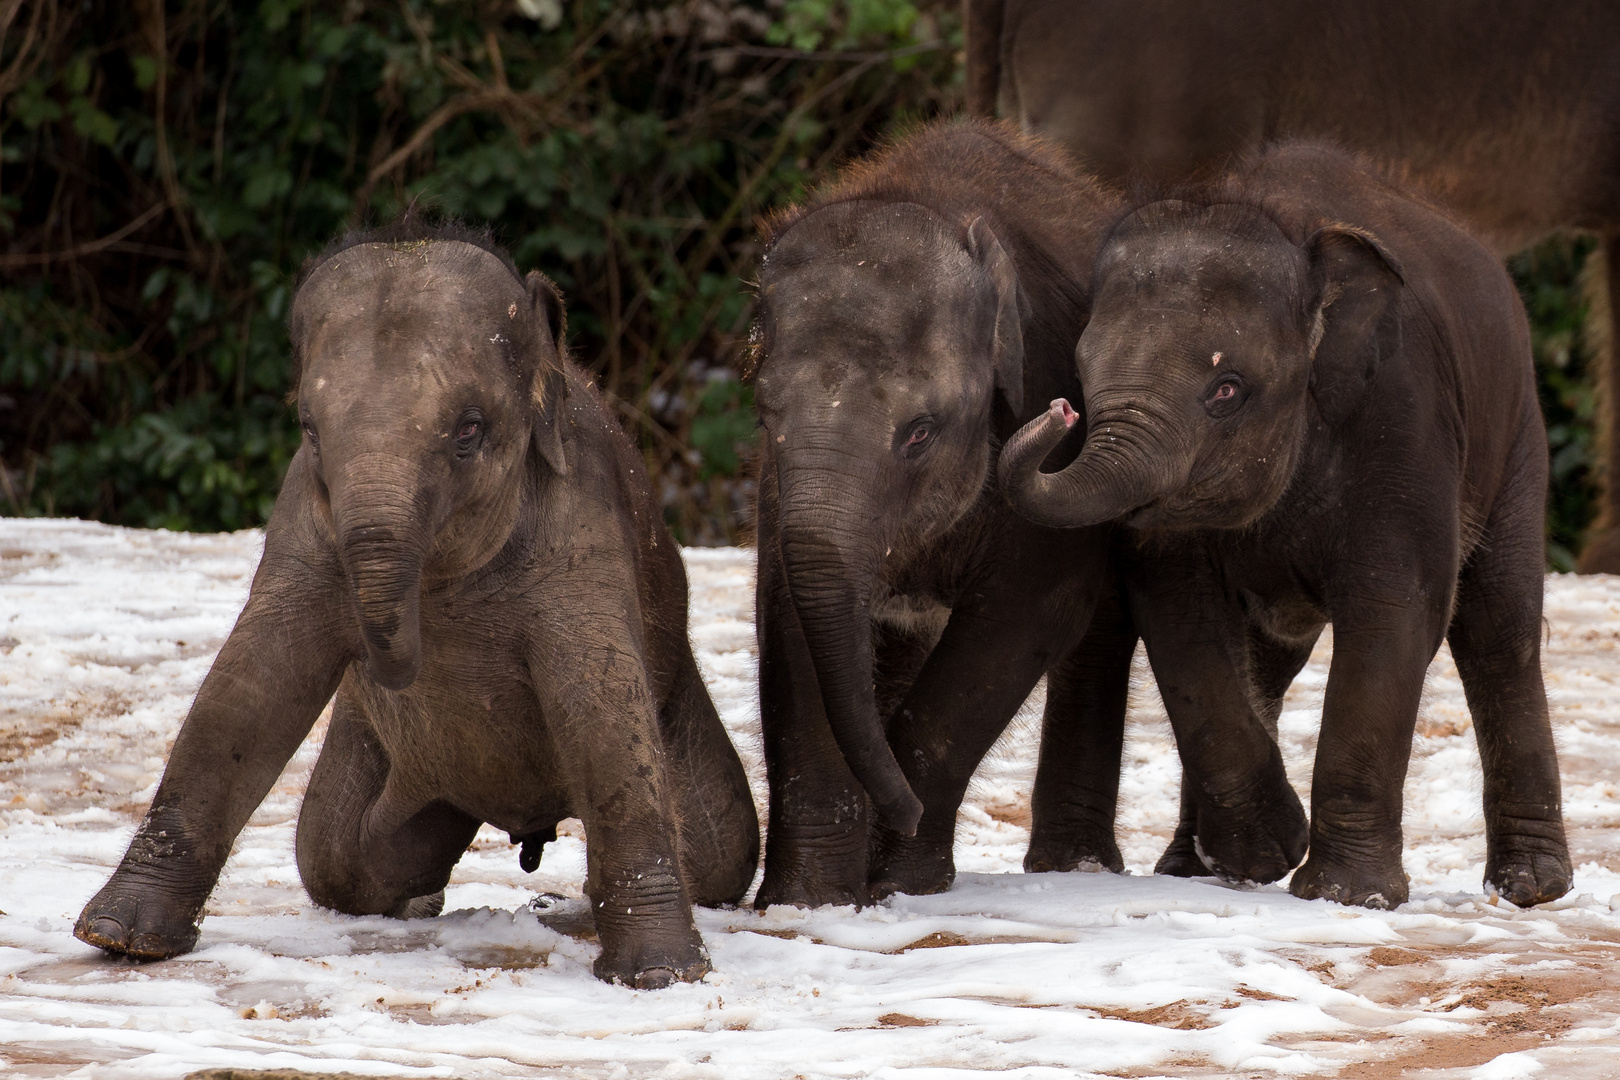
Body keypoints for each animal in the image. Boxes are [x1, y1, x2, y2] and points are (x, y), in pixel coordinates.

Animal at [71, 223, 758, 990]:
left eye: (468, 430)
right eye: (310, 430)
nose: (390, 663)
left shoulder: (583, 525)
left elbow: (603, 703)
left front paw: (659, 976)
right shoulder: (301, 517)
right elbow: (252, 679)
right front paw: (119, 938)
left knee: (724, 849)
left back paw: (561, 906)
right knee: (336, 857)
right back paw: (430, 898)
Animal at [997, 139, 1568, 906]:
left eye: (1226, 390)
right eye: (1082, 373)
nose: (1059, 411)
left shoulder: (1405, 419)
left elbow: (1395, 610)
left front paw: (1346, 894)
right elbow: (1183, 619)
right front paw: (1266, 853)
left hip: (1516, 442)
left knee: (1499, 631)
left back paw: (1531, 889)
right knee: (1267, 659)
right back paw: (1193, 866)